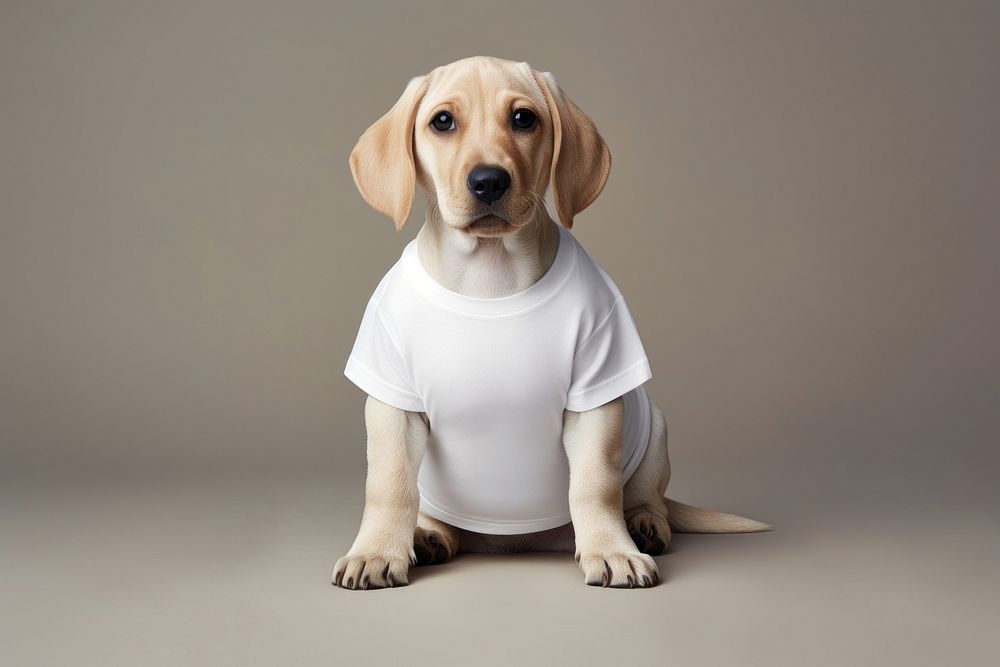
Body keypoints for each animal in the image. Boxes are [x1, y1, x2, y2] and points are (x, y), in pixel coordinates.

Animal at [332, 56, 768, 588]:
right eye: (442, 122)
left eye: (523, 119)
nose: (489, 181)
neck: (490, 276)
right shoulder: (391, 400)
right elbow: (390, 483)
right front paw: (375, 550)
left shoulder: (598, 393)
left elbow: (595, 485)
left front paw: (611, 549)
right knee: (437, 513)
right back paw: (429, 534)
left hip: (655, 427)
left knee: (647, 497)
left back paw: (643, 526)